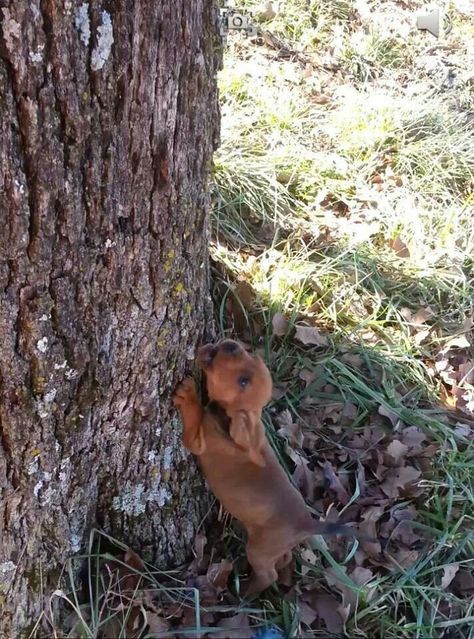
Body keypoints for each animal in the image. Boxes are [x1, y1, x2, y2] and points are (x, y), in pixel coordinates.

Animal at [172, 340, 346, 596]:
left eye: (243, 381)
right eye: (249, 354)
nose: (232, 345)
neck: (227, 418)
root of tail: (306, 523)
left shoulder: (196, 440)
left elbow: (194, 415)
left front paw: (188, 395)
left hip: (259, 550)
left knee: (267, 574)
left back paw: (244, 592)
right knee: (284, 559)